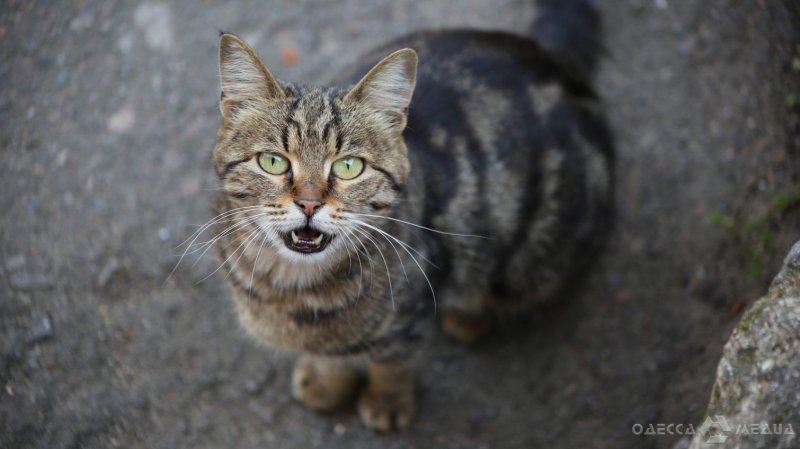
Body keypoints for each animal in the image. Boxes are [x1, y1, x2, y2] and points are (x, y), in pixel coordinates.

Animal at [206, 3, 612, 432]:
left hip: (537, 261)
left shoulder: (412, 311)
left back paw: (470, 317)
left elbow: (391, 361)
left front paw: (385, 400)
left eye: (349, 166)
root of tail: (554, 59)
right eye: (273, 161)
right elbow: (334, 356)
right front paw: (328, 382)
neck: (290, 289)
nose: (310, 203)